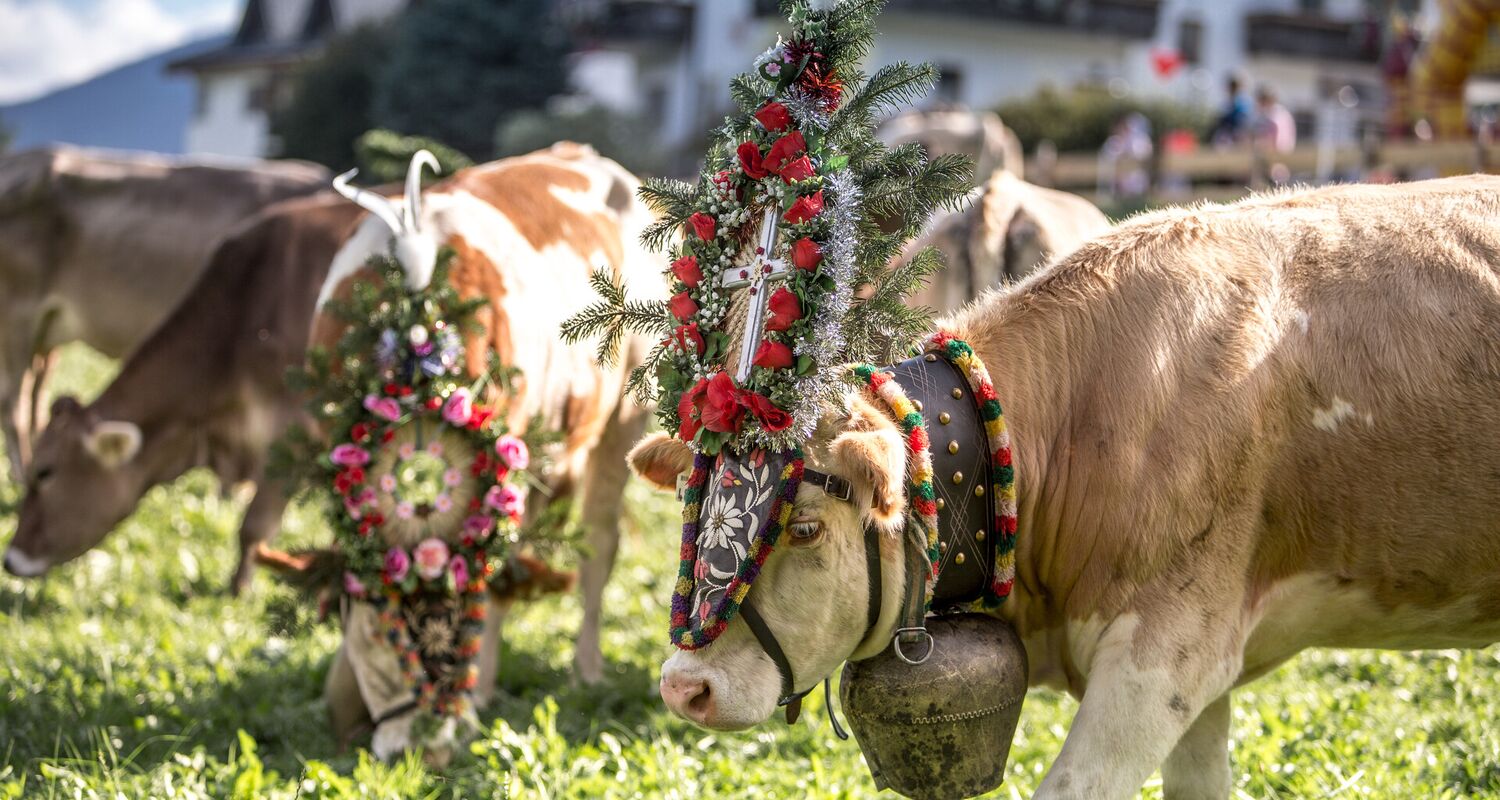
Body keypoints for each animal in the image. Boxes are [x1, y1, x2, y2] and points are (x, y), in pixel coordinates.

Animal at [309, 143, 663, 755]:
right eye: (381, 626)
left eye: (460, 614)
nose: (427, 747)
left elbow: (496, 574)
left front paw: (476, 694)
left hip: (623, 416)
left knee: (597, 544)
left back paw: (584, 669)